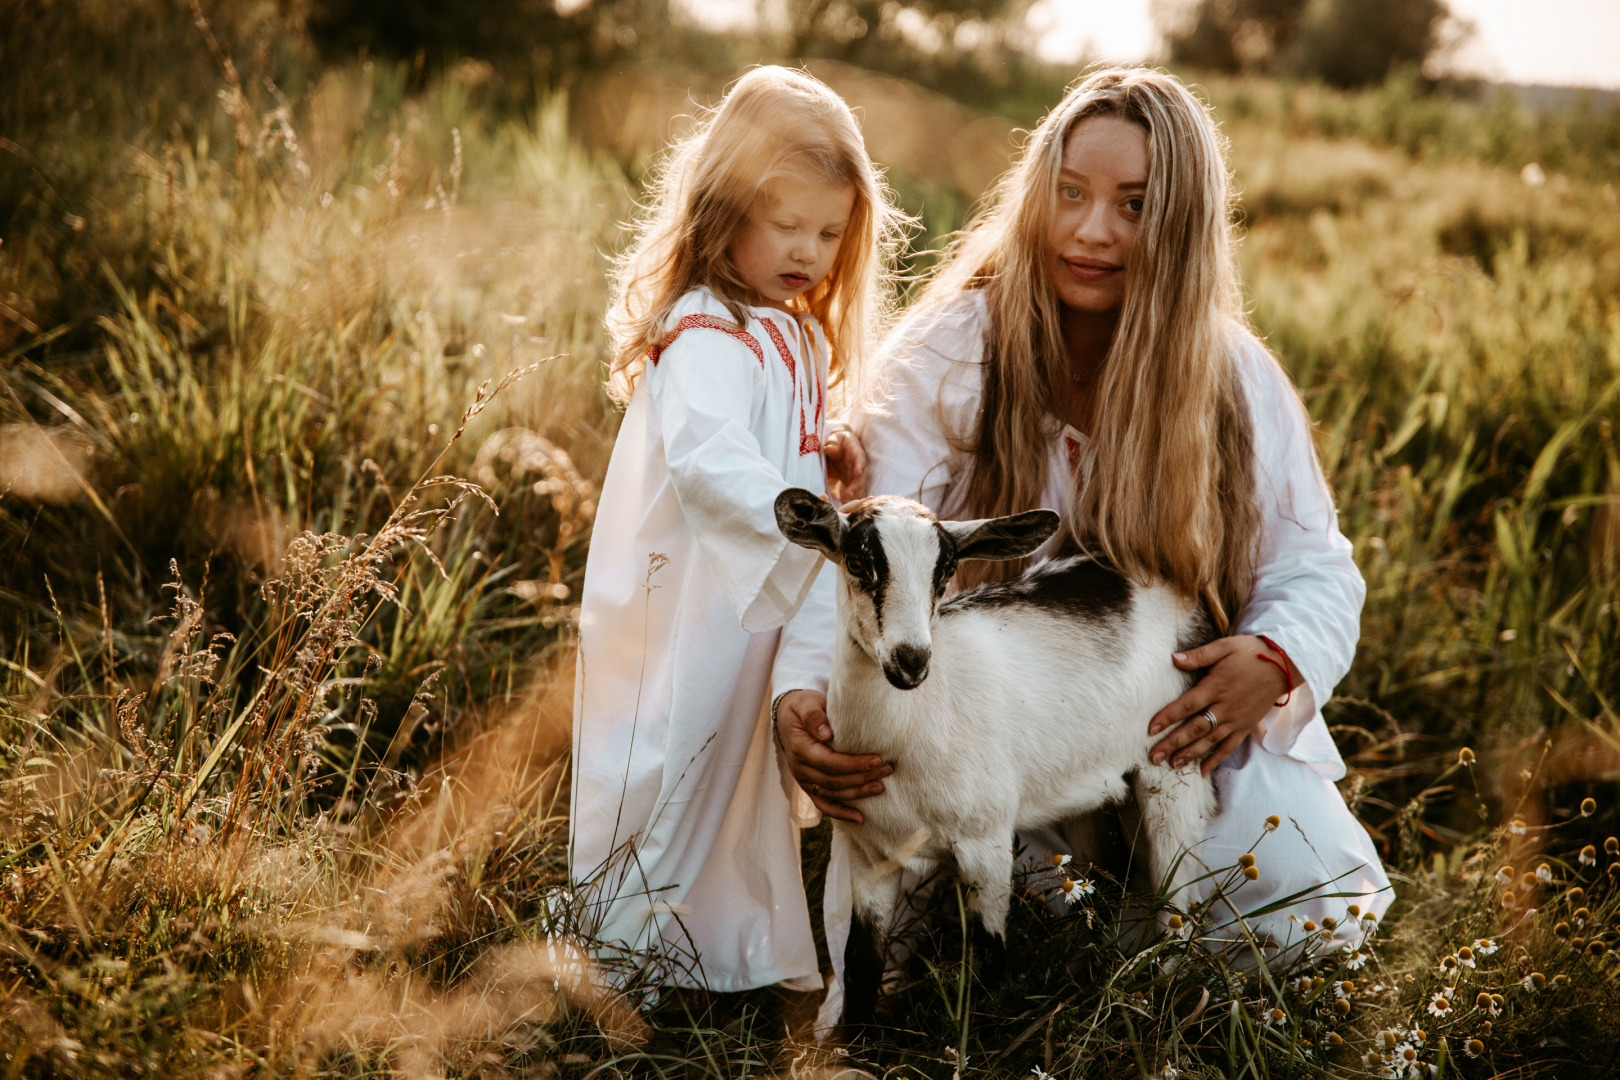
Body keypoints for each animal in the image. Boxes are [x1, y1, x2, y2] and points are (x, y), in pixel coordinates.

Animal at [771, 488, 1218, 1023]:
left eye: (945, 570)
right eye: (858, 561)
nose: (910, 660)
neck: (907, 732)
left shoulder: (985, 841)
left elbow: (988, 961)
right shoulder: (869, 851)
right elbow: (861, 964)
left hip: (1173, 763)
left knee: (1178, 905)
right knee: (1105, 875)